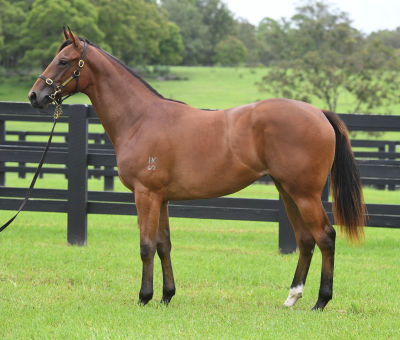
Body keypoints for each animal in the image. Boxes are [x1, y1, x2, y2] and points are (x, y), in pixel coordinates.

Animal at [28, 27, 366, 310]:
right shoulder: (162, 198)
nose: (35, 96)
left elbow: (146, 246)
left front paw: (144, 297)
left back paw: (321, 301)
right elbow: (164, 245)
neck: (140, 118)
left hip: (304, 193)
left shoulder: (145, 194)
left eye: (62, 61)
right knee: (306, 239)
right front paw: (167, 296)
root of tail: (318, 113)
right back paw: (292, 297)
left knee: (325, 236)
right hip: (287, 191)